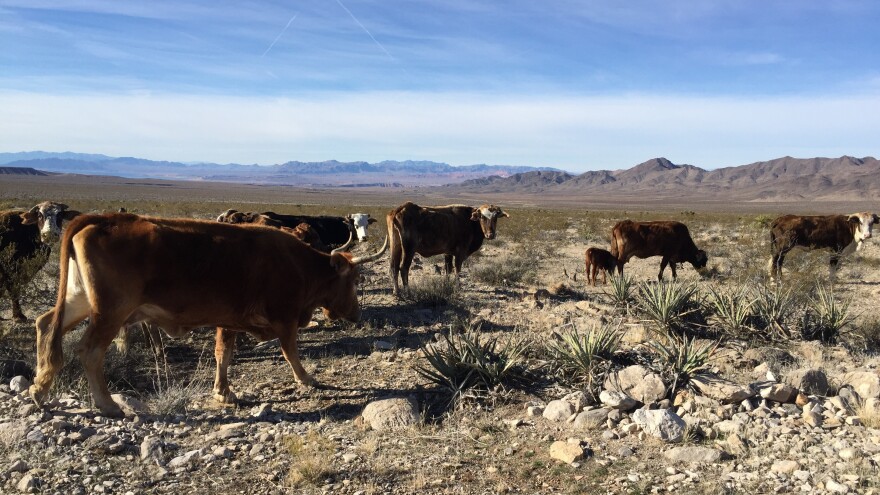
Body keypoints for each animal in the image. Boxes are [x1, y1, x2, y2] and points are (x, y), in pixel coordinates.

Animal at [29, 213, 386, 418]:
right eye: (355, 279)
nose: (356, 313)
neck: (300, 264)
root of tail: (99, 219)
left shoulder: (228, 321)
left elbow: (222, 354)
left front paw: (223, 391)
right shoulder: (284, 317)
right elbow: (290, 352)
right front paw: (307, 379)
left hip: (79, 299)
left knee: (46, 324)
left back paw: (40, 388)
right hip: (110, 310)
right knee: (90, 351)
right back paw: (107, 404)